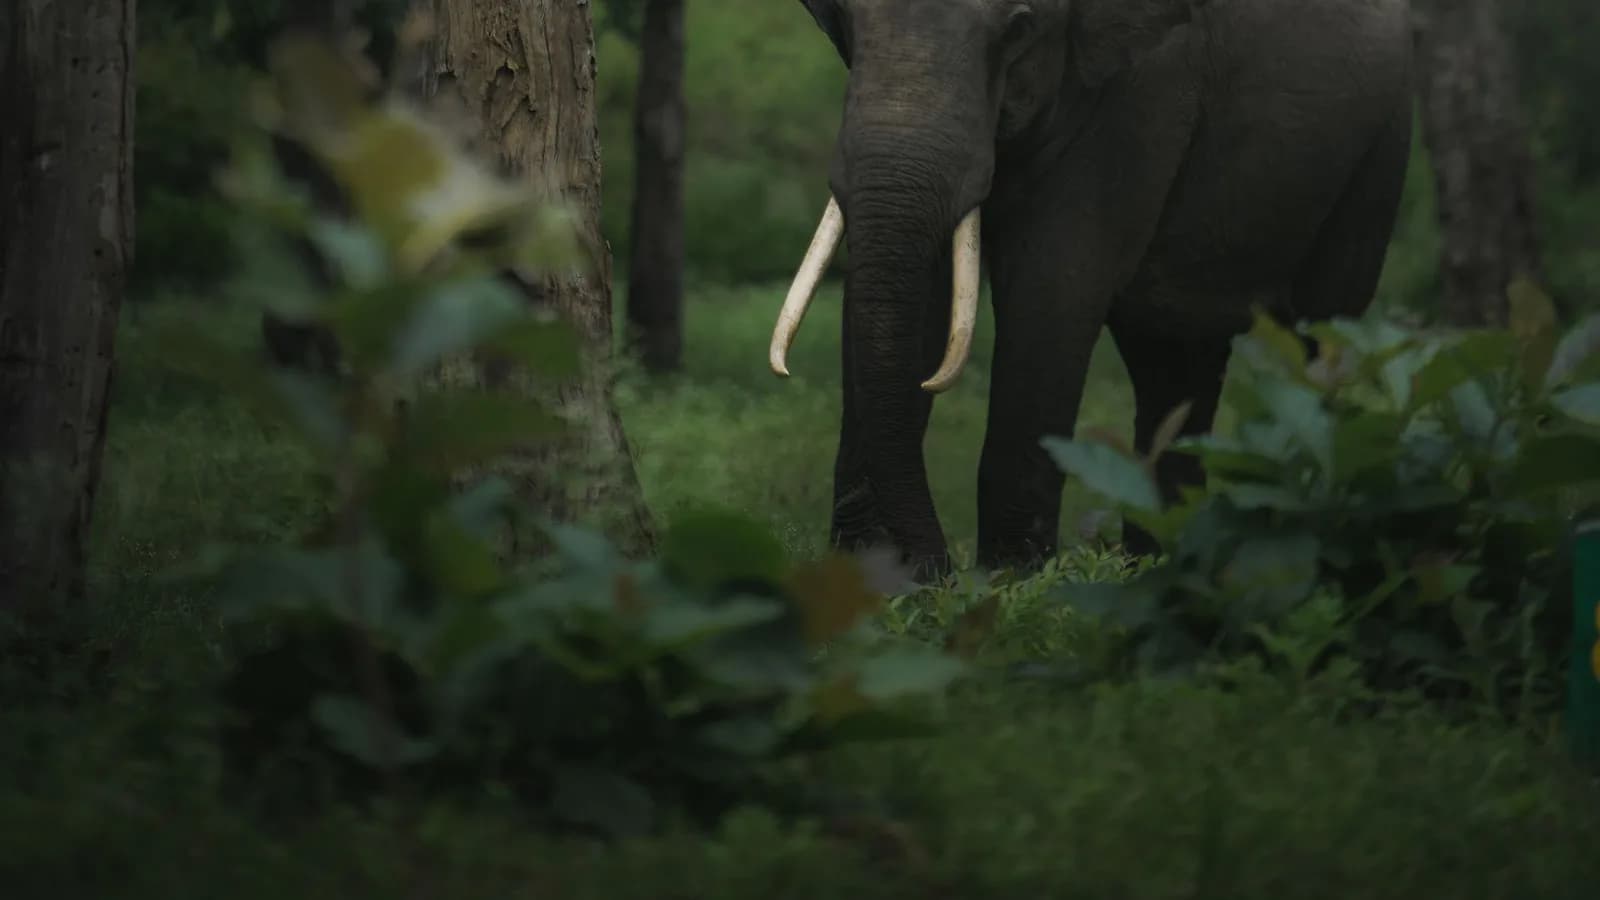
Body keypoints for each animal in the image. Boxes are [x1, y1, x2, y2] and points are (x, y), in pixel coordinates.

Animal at [769, 0, 1414, 580]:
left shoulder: (1141, 90)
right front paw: (876, 592)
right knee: (1175, 365)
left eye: (1019, 27)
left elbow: (1052, 289)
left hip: (1376, 159)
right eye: (845, 19)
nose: (938, 571)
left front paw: (1010, 588)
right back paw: (1162, 567)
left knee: (1321, 334)